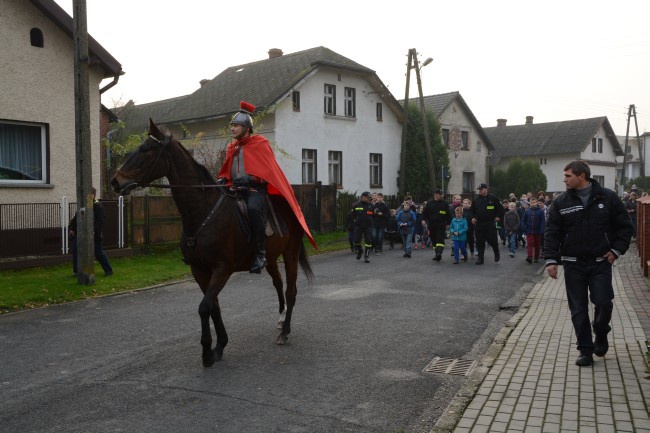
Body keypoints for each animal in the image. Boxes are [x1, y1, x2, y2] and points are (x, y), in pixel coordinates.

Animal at [110, 120, 312, 366]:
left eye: (145, 150)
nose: (116, 181)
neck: (202, 212)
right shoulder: (199, 270)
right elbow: (213, 306)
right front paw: (220, 345)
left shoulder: (222, 269)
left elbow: (205, 306)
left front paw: (207, 351)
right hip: (272, 258)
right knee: (279, 285)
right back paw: (281, 321)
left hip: (291, 253)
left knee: (291, 291)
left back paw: (284, 332)